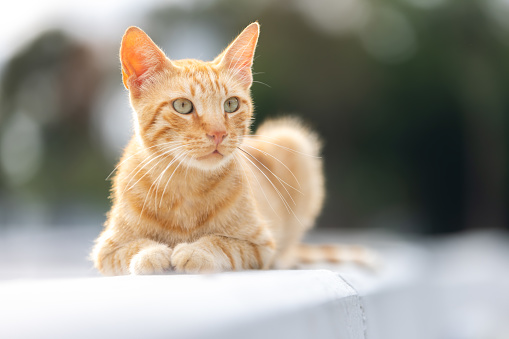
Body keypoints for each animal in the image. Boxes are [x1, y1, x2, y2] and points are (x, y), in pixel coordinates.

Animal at [90, 21, 370, 276]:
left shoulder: (260, 245)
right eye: (183, 106)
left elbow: (221, 244)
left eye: (231, 104)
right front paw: (152, 254)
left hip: (290, 137)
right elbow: (131, 248)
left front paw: (195, 251)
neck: (185, 184)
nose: (218, 133)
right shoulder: (105, 250)